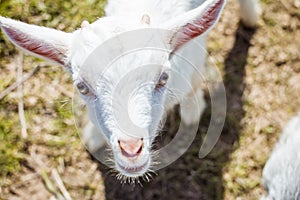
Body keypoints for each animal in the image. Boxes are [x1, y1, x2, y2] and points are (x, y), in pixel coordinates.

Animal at [0, 0, 258, 178]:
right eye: (82, 86)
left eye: (163, 77)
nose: (131, 150)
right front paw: (93, 137)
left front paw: (192, 111)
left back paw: (251, 15)